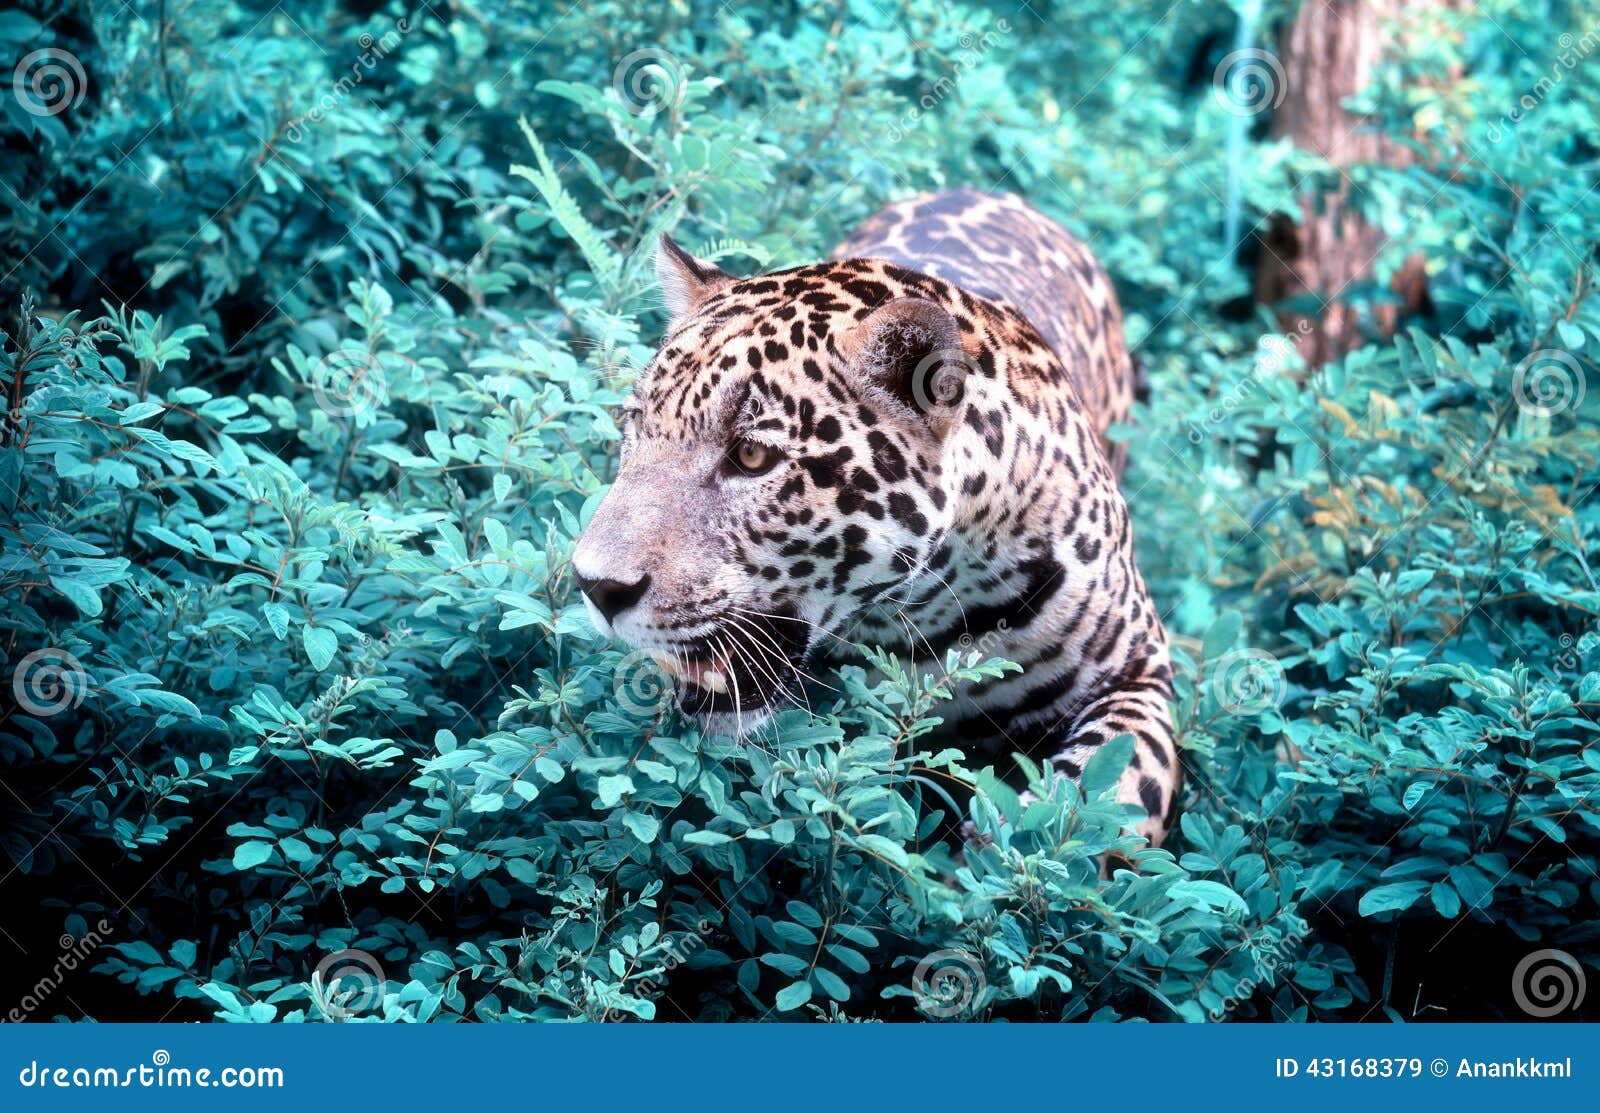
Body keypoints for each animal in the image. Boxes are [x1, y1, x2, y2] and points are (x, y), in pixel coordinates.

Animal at [571, 188, 1179, 844]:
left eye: (751, 455)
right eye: (635, 425)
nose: (594, 586)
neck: (919, 616)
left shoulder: (1140, 673)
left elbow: (1115, 795)